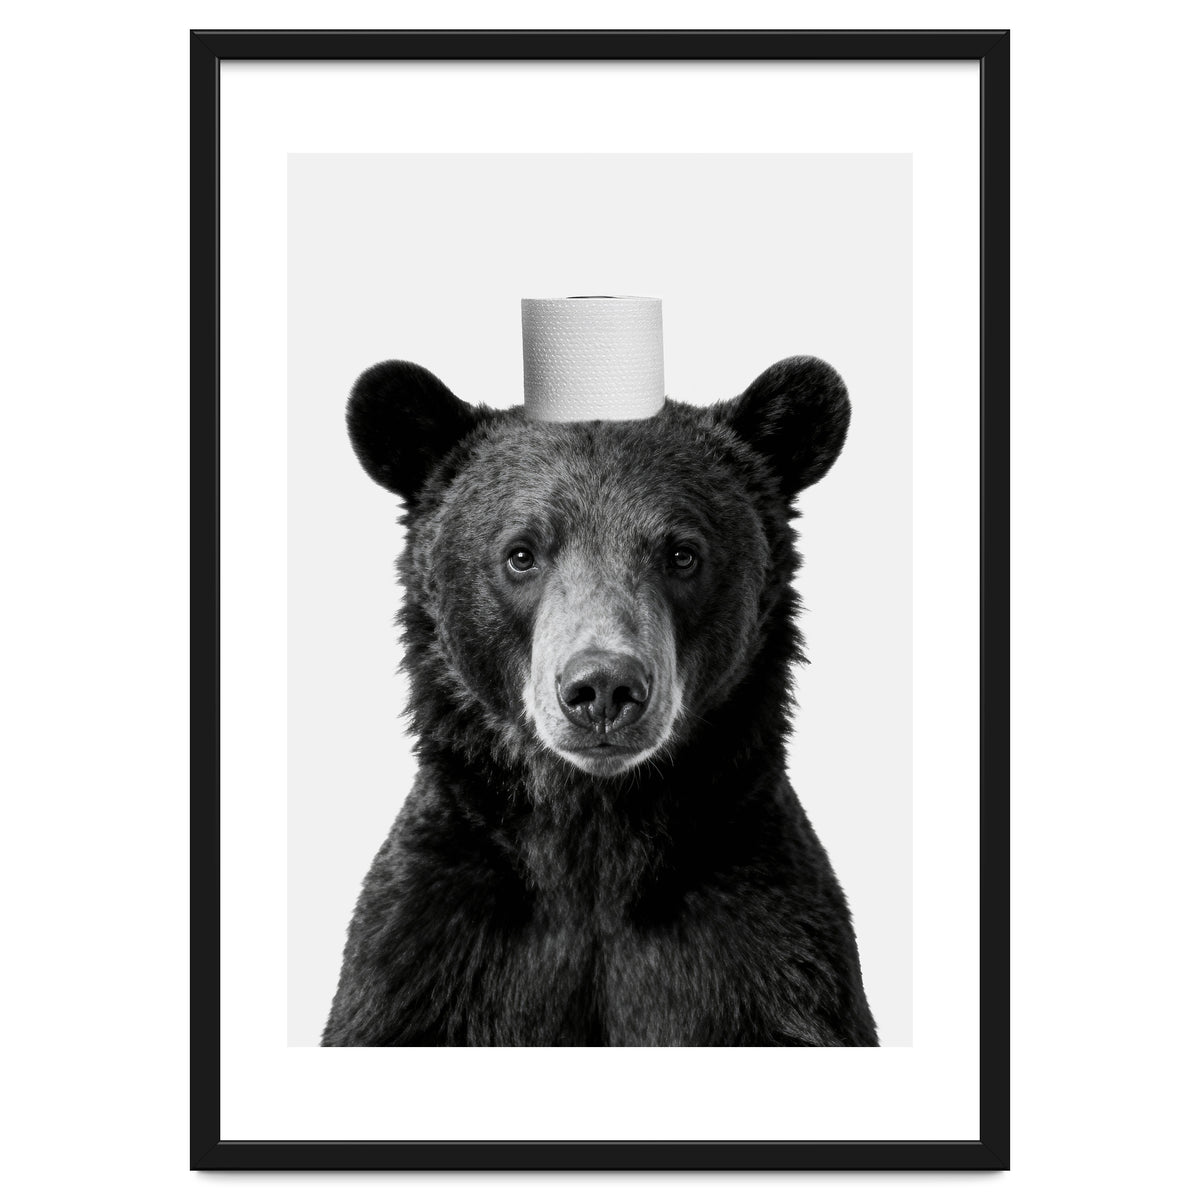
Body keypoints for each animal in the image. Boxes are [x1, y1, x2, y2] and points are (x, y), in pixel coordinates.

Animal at [322, 355, 878, 1047]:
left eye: (682, 553)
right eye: (521, 554)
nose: (604, 688)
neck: (595, 833)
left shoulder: (768, 949)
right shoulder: (429, 949)